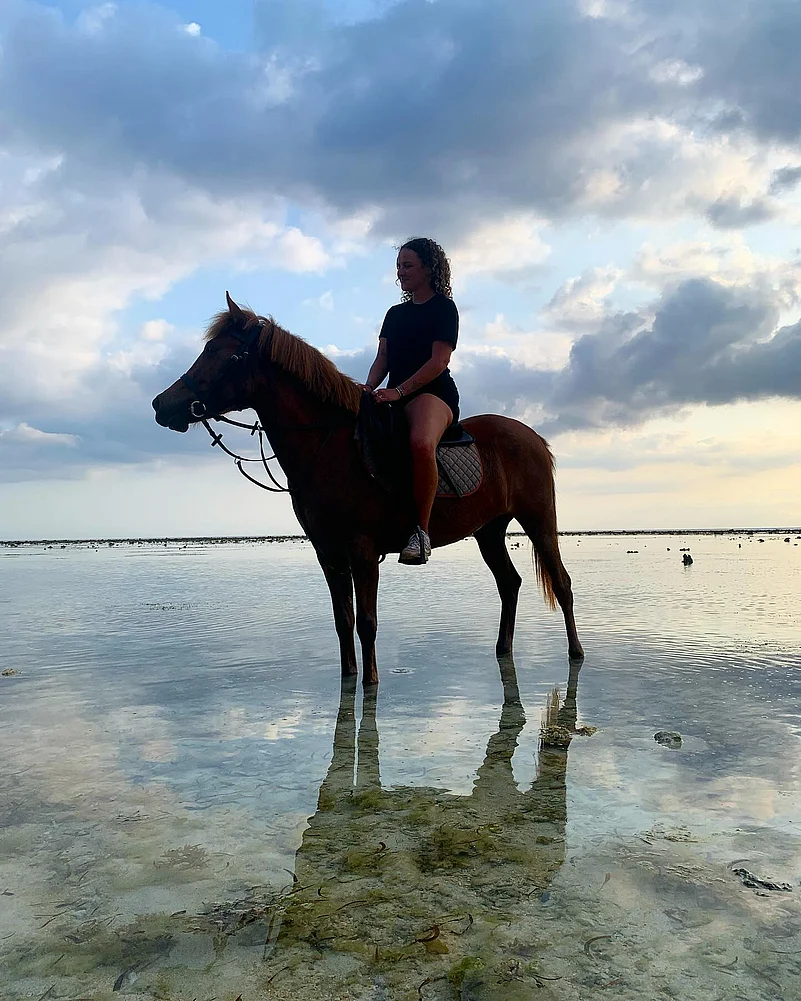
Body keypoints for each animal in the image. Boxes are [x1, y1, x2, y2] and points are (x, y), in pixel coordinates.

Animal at [152, 293, 583, 685]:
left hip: (538, 520)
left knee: (562, 584)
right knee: (509, 584)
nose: (160, 404)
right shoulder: (328, 552)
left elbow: (367, 624)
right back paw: (502, 650)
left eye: (220, 353)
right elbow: (343, 623)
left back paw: (576, 653)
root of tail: (533, 438)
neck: (327, 445)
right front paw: (348, 679)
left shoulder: (361, 549)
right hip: (489, 530)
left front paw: (371, 685)